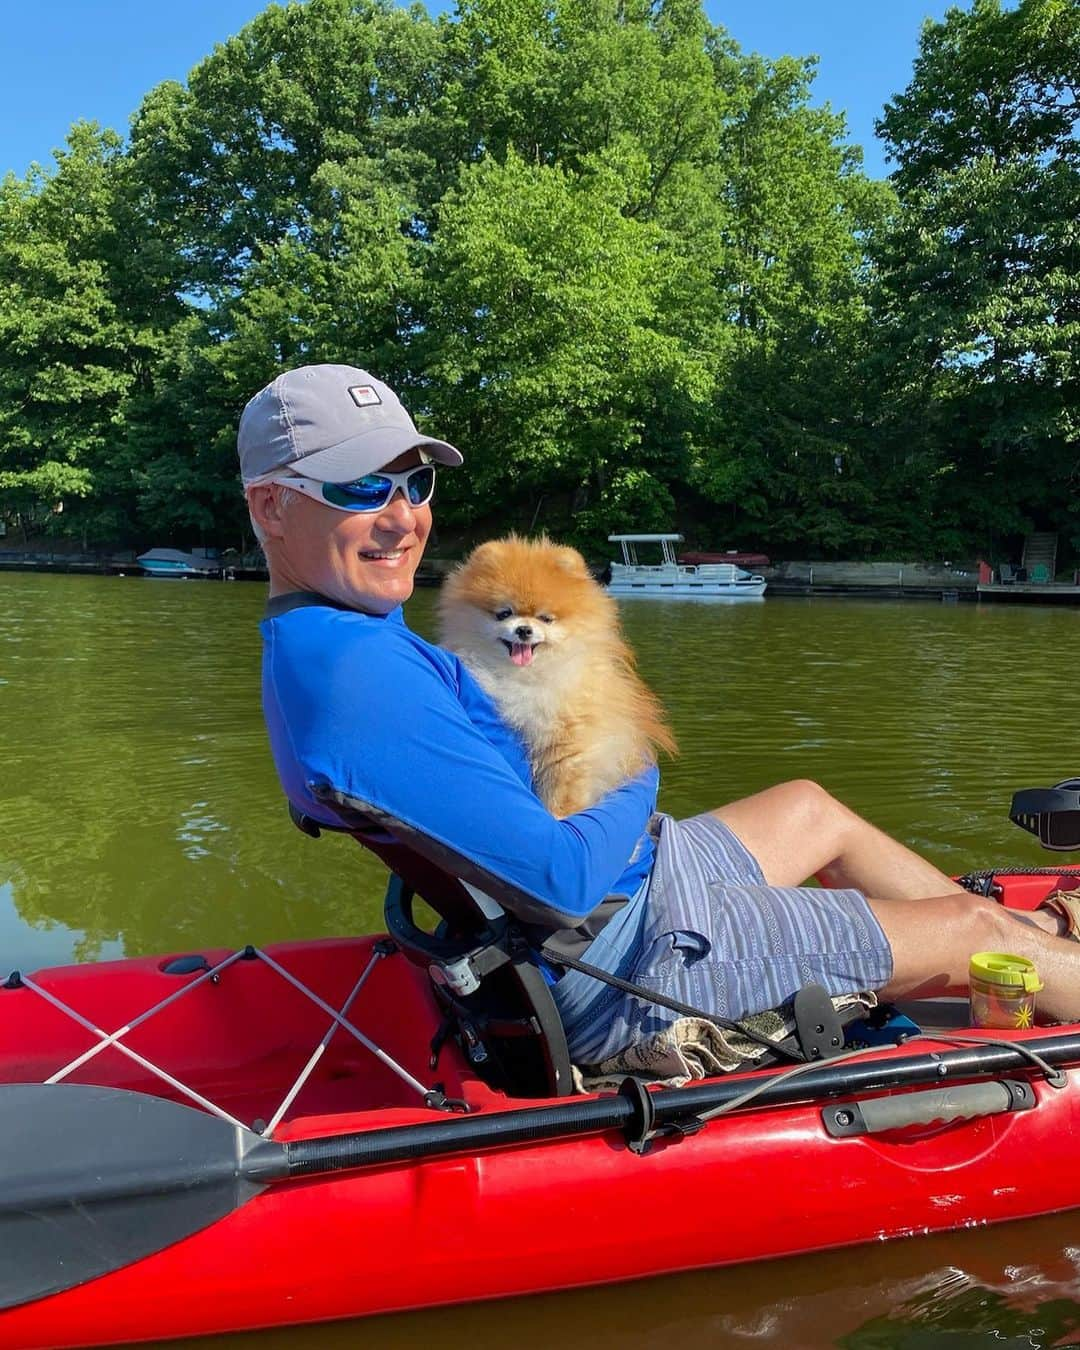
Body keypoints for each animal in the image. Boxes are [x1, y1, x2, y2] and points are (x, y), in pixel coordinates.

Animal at [437, 534, 675, 810]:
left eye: (545, 618)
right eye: (504, 613)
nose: (524, 630)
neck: (526, 676)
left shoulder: (569, 745)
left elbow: (562, 797)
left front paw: (559, 814)